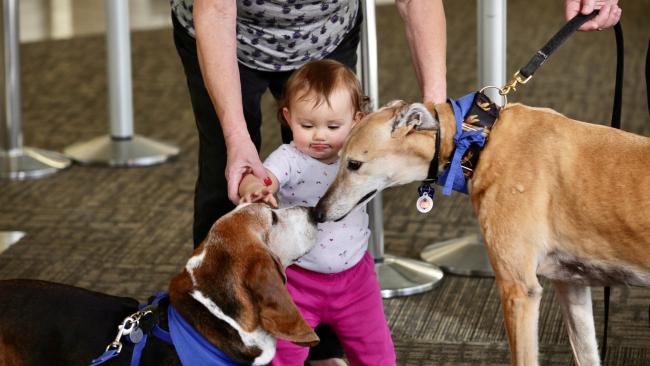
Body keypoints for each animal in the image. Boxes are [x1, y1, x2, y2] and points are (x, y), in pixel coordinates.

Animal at [312, 100, 648, 366]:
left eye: (354, 163)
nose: (318, 213)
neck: (479, 139)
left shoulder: (518, 290)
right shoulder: (572, 285)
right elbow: (585, 352)